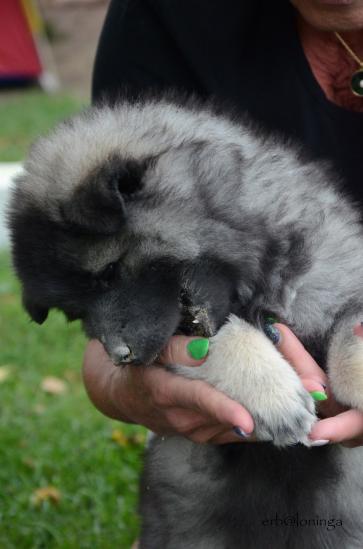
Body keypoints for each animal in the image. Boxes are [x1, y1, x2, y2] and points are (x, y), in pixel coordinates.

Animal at [7, 96, 363, 544]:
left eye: (109, 272)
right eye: (78, 313)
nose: (119, 357)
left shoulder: (334, 284)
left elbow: (350, 334)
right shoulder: (177, 342)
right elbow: (220, 341)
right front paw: (272, 391)